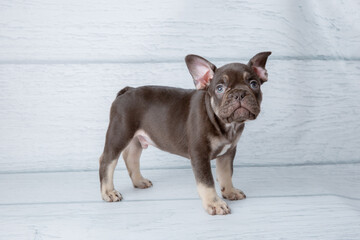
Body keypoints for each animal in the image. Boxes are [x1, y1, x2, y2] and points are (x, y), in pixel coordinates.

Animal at [98, 51, 270, 215]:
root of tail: (127, 91)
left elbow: (226, 174)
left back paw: (139, 181)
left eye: (254, 84)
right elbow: (207, 182)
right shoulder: (200, 155)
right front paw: (214, 204)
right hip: (120, 134)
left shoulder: (228, 153)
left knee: (131, 157)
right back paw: (109, 192)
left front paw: (229, 191)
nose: (239, 93)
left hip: (136, 138)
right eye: (220, 88)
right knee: (107, 161)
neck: (225, 123)